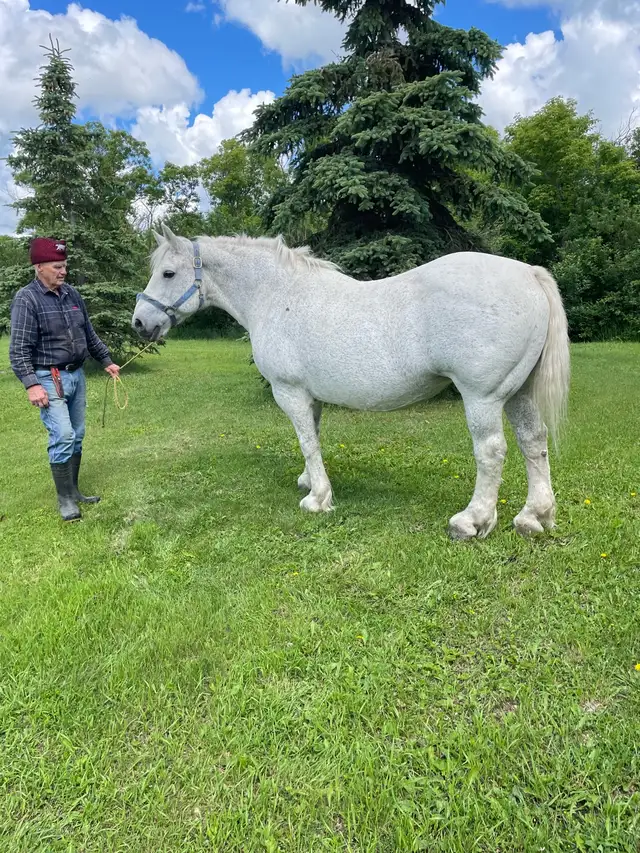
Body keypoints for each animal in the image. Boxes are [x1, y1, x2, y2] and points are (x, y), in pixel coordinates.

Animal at [132, 224, 570, 540]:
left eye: (168, 273)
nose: (139, 322)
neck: (275, 295)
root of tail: (528, 273)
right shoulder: (311, 396)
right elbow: (313, 437)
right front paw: (310, 481)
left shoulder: (289, 392)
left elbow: (307, 441)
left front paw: (317, 499)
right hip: (519, 393)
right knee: (534, 442)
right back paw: (534, 517)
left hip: (483, 397)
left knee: (492, 451)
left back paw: (472, 521)